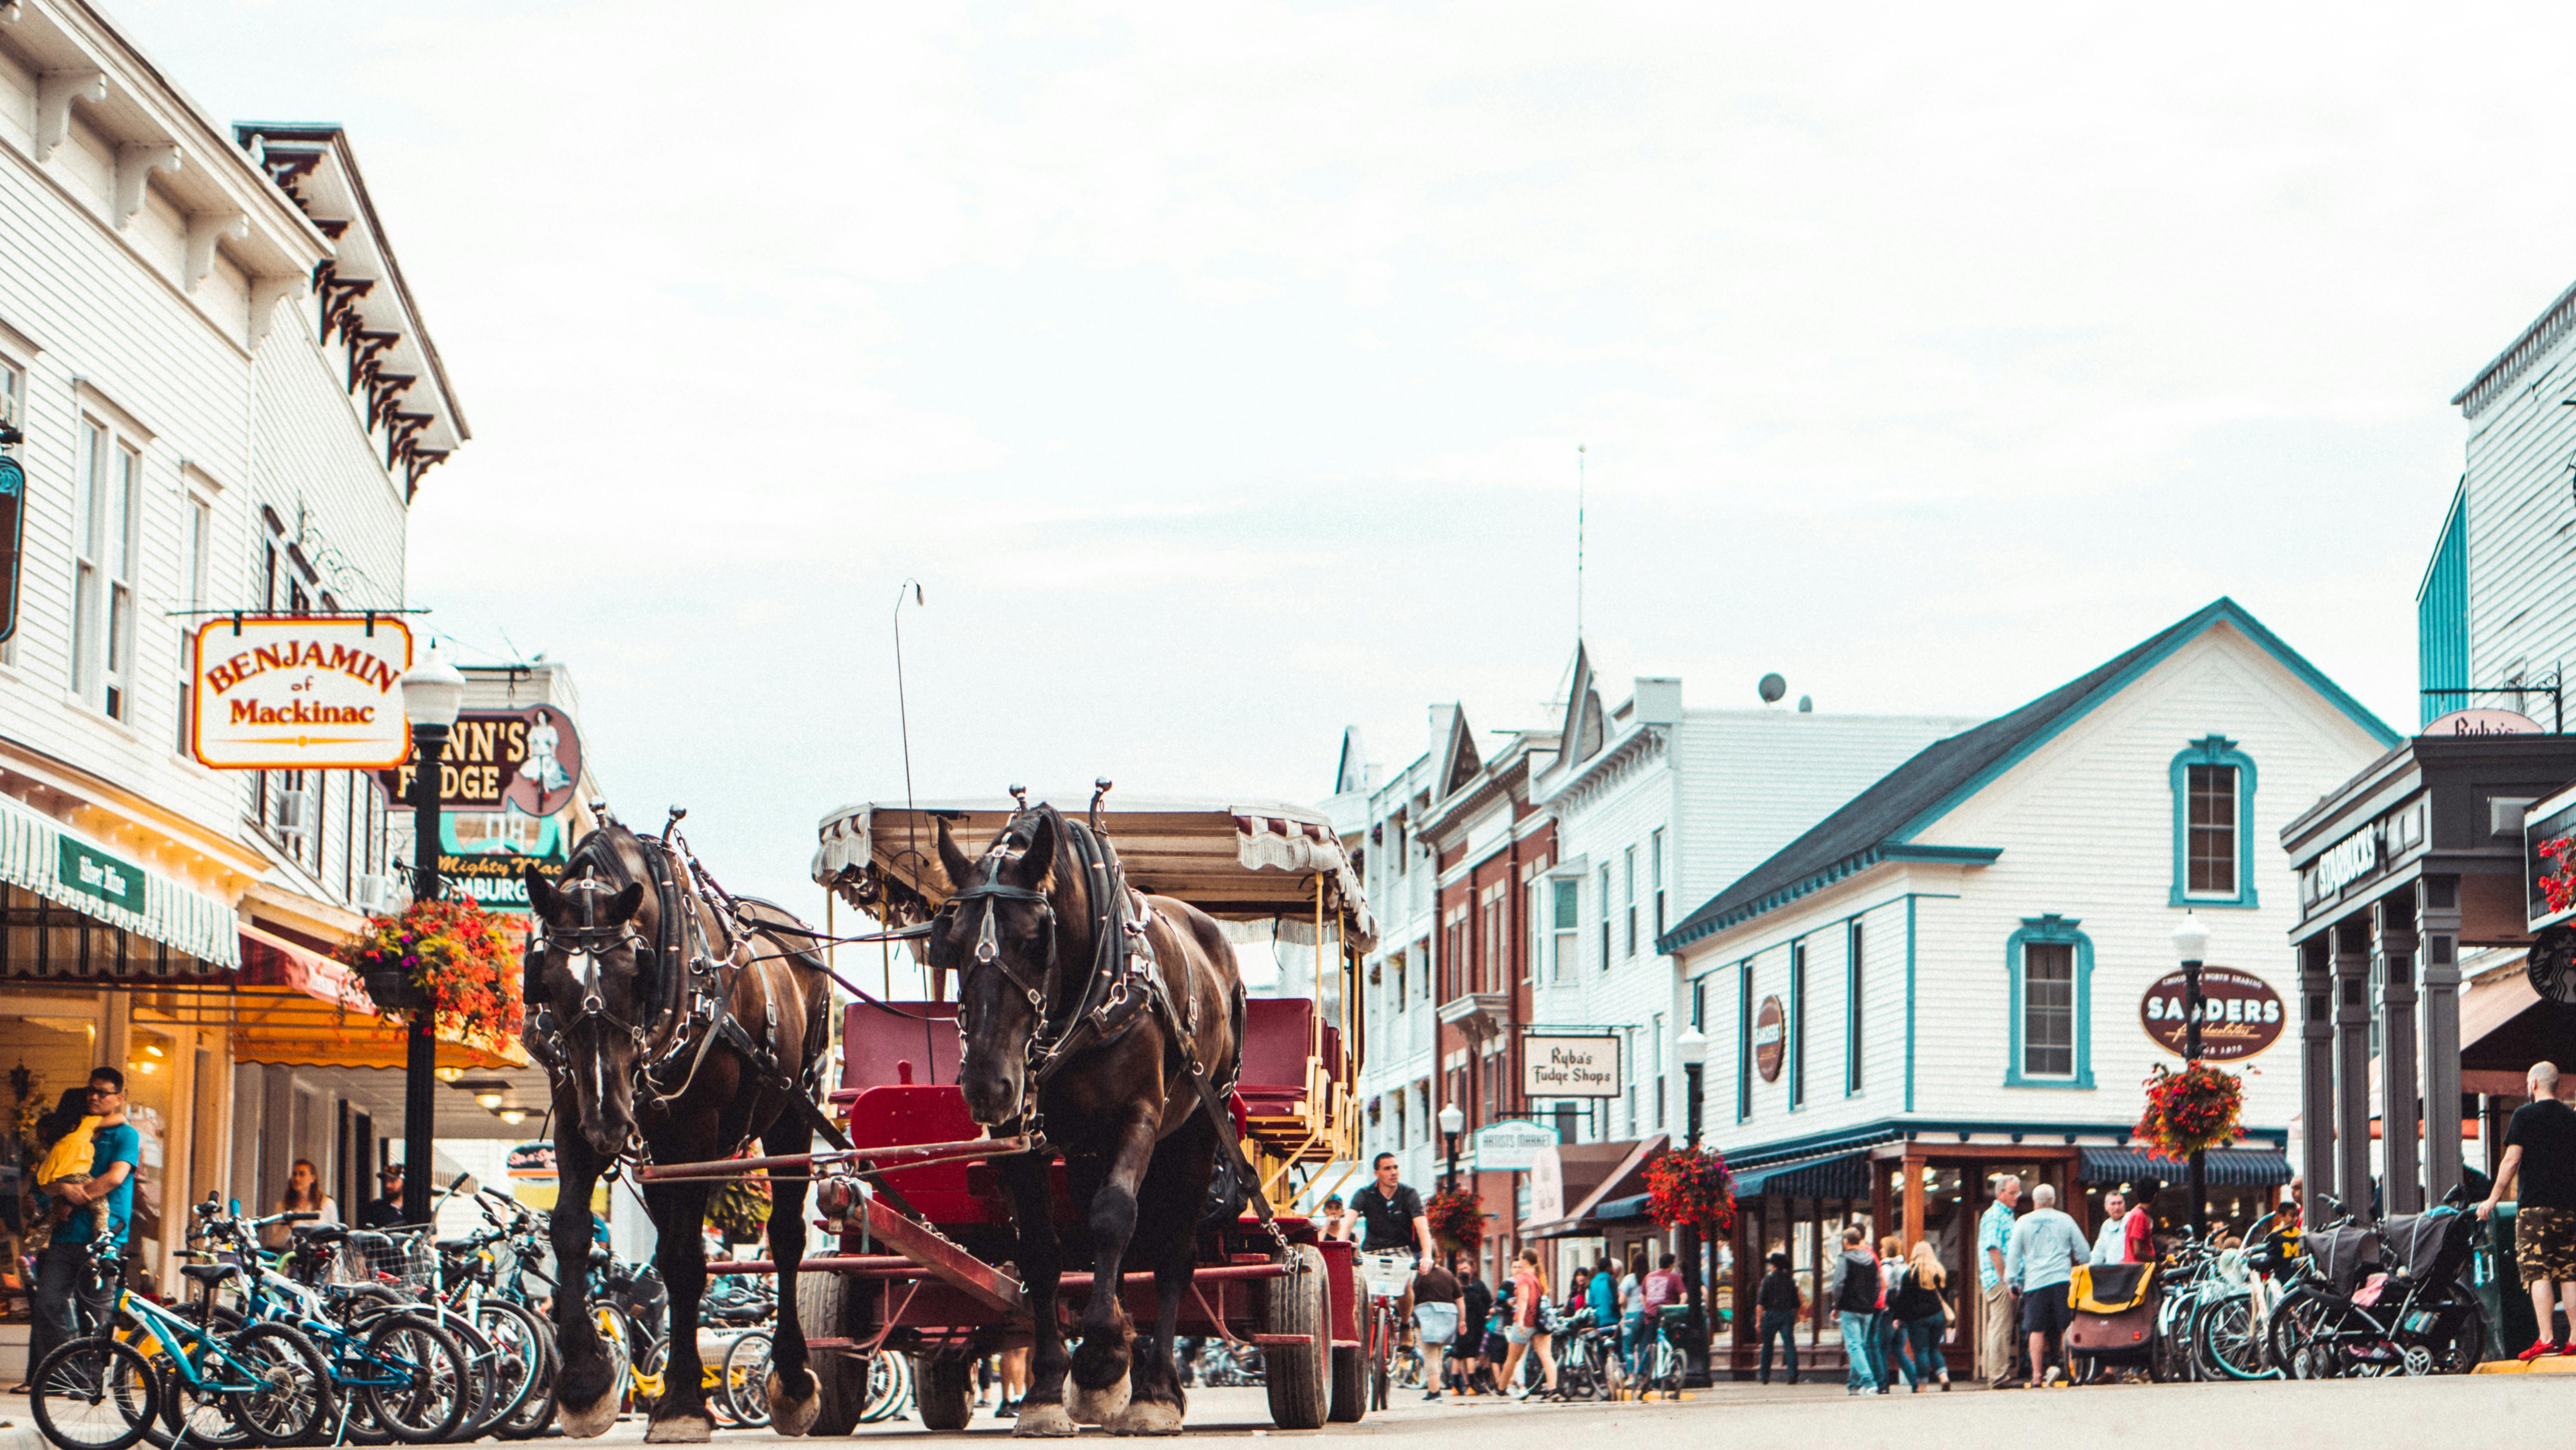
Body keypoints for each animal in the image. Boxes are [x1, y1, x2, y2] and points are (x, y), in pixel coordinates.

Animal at [517, 824, 840, 1442]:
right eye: (544, 980)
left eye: (633, 974)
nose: (610, 1122)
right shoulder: (574, 1112)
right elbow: (570, 1230)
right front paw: (586, 1384)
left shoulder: (694, 1132)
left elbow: (687, 1260)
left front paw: (683, 1404)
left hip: (792, 1113)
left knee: (786, 1237)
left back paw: (792, 1382)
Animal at [932, 803, 1252, 1442]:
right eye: (951, 944)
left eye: (1037, 939)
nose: (987, 1085)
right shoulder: (1021, 1137)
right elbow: (1042, 1249)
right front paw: (1048, 1390)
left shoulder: (1139, 1117)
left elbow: (1114, 1218)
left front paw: (1103, 1358)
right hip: (1085, 1149)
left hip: (1199, 1126)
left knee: (1171, 1251)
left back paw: (1156, 1389)